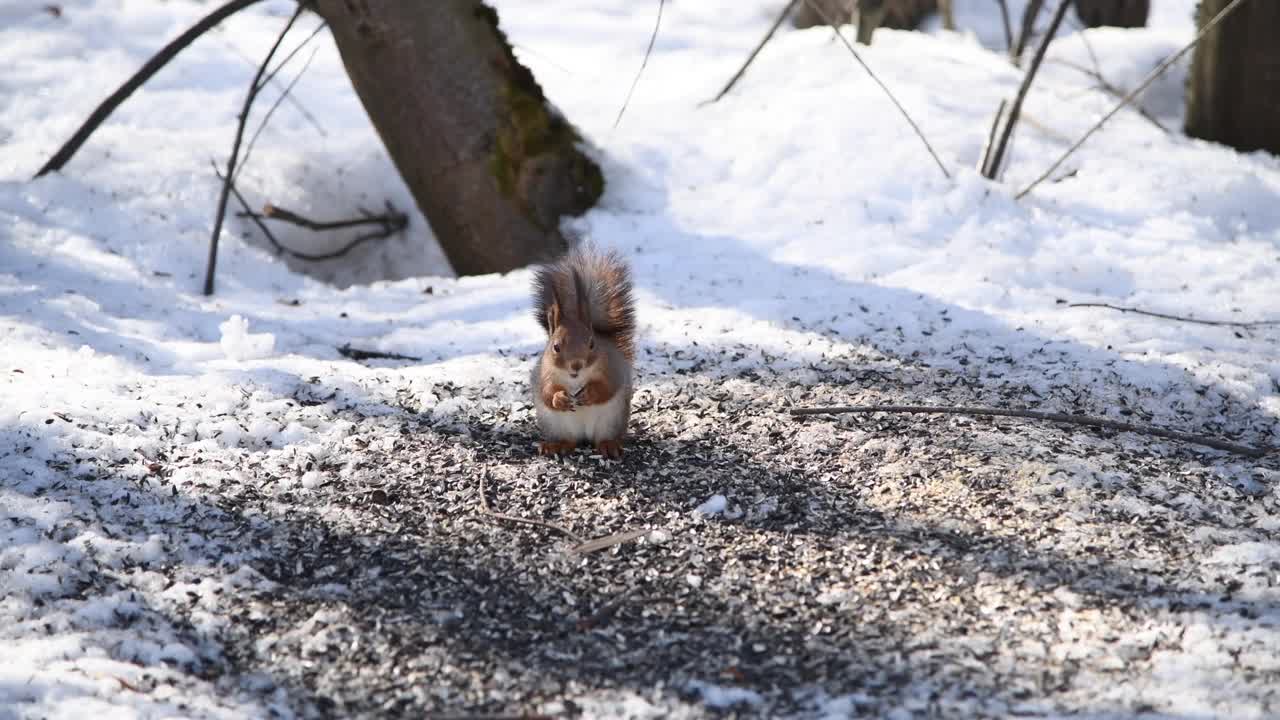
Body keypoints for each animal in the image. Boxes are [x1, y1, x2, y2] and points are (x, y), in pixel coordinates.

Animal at [529, 243, 634, 456]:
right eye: (556, 346)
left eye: (592, 344)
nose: (576, 365)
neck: (575, 380)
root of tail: (585, 436)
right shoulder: (545, 373)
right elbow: (546, 392)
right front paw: (559, 399)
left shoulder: (611, 369)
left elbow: (607, 387)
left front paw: (589, 394)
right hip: (556, 425)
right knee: (569, 441)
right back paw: (557, 445)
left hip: (611, 420)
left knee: (603, 437)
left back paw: (609, 445)